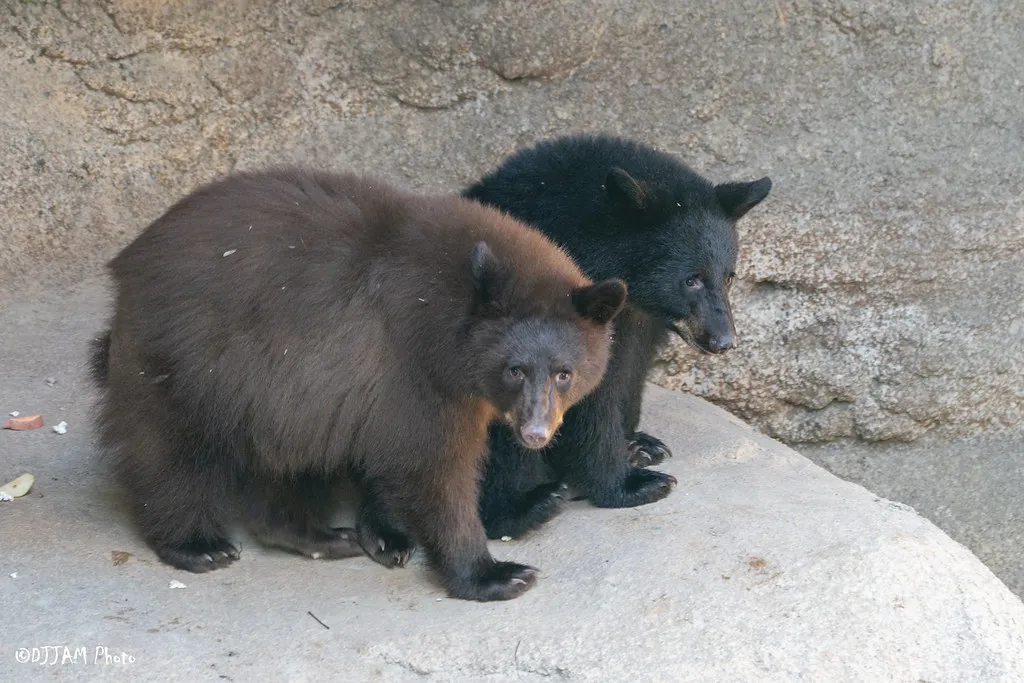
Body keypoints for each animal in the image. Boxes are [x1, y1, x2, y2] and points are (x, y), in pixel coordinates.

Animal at [89, 167, 627, 601]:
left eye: (564, 372)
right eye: (515, 369)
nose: (536, 433)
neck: (451, 321)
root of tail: (128, 263)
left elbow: (389, 454)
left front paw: (386, 534)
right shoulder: (415, 364)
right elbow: (434, 466)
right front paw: (496, 573)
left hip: (272, 394)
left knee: (283, 461)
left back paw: (323, 537)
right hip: (186, 359)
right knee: (170, 450)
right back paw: (197, 544)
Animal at [461, 133, 772, 539]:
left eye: (728, 276)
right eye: (691, 279)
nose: (723, 341)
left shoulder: (638, 318)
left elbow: (629, 368)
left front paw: (639, 444)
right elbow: (587, 395)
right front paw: (630, 483)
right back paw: (524, 506)